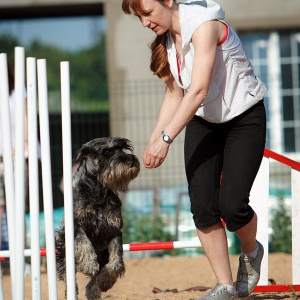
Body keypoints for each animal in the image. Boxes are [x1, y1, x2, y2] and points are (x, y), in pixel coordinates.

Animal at [55, 137, 140, 298]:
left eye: (121, 148)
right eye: (106, 152)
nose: (131, 161)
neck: (99, 190)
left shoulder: (114, 229)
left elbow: (116, 263)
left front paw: (105, 282)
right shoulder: (76, 225)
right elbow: (84, 242)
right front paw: (89, 264)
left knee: (94, 278)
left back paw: (93, 290)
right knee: (68, 276)